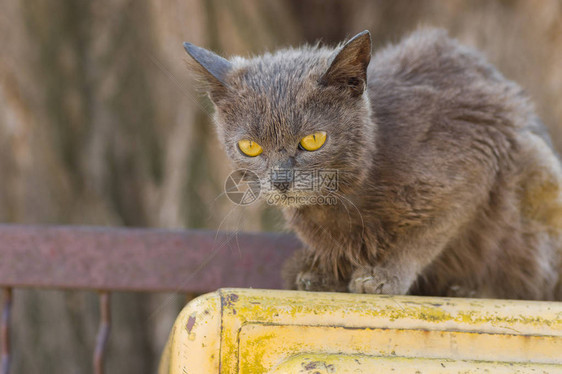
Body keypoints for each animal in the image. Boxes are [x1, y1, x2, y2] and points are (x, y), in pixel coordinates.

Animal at [184, 27, 560, 300]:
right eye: (249, 146)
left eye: (313, 140)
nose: (280, 181)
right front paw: (321, 273)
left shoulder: (477, 159)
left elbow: (427, 234)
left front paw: (384, 276)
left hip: (535, 165)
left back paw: (471, 289)